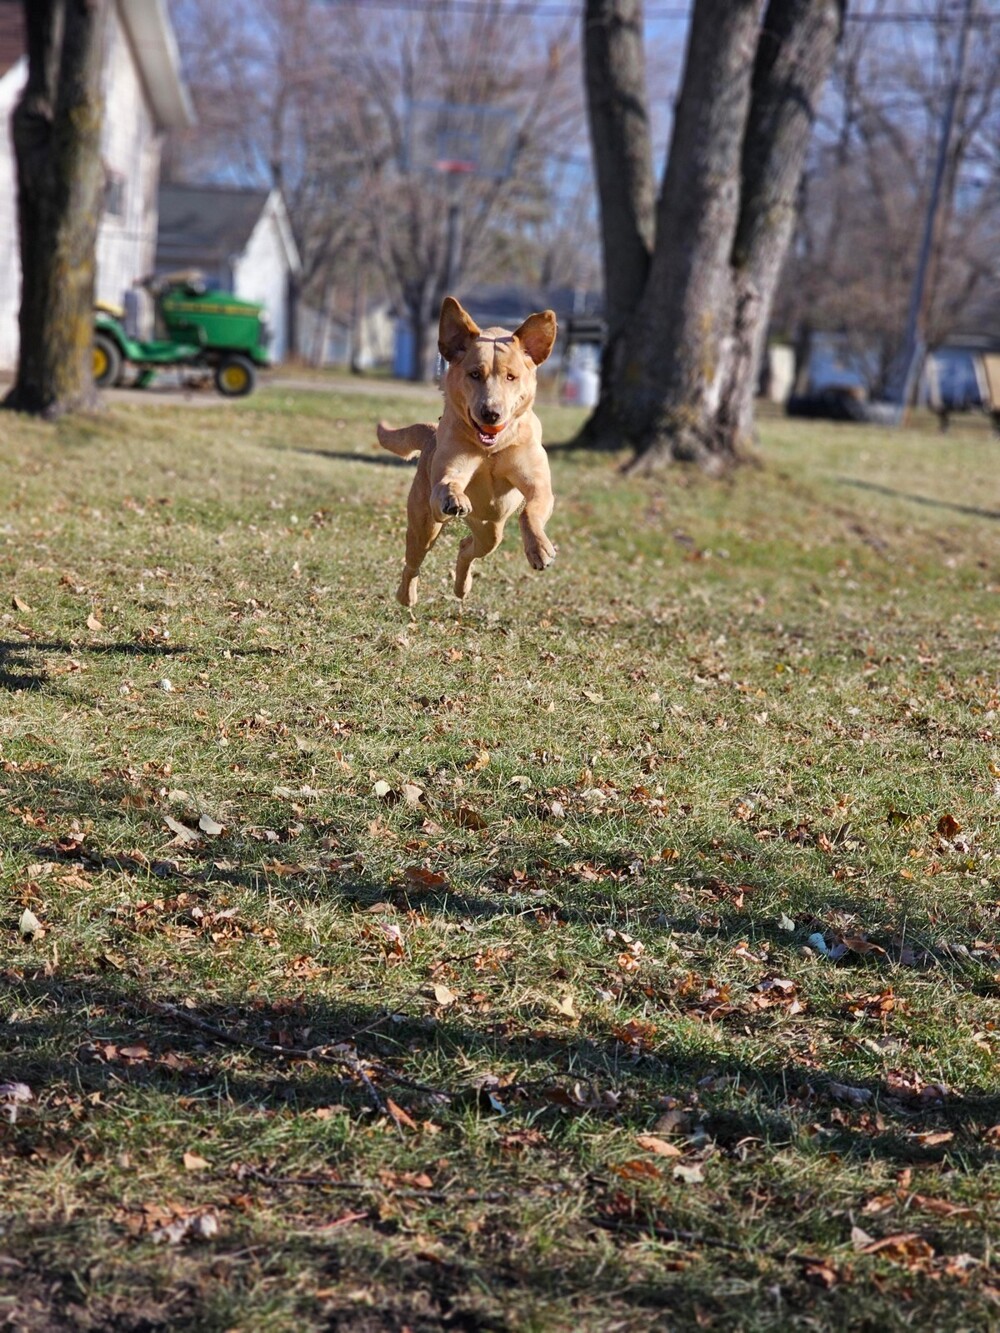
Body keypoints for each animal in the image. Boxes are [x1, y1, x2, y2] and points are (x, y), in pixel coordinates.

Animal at [378, 299, 560, 607]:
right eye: (475, 374)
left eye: (511, 377)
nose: (491, 412)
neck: (491, 448)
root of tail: (430, 436)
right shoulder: (451, 470)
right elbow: (449, 483)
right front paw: (455, 498)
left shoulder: (538, 484)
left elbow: (530, 510)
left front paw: (539, 549)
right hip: (426, 526)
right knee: (414, 560)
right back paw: (406, 595)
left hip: (491, 531)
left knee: (467, 547)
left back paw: (462, 587)